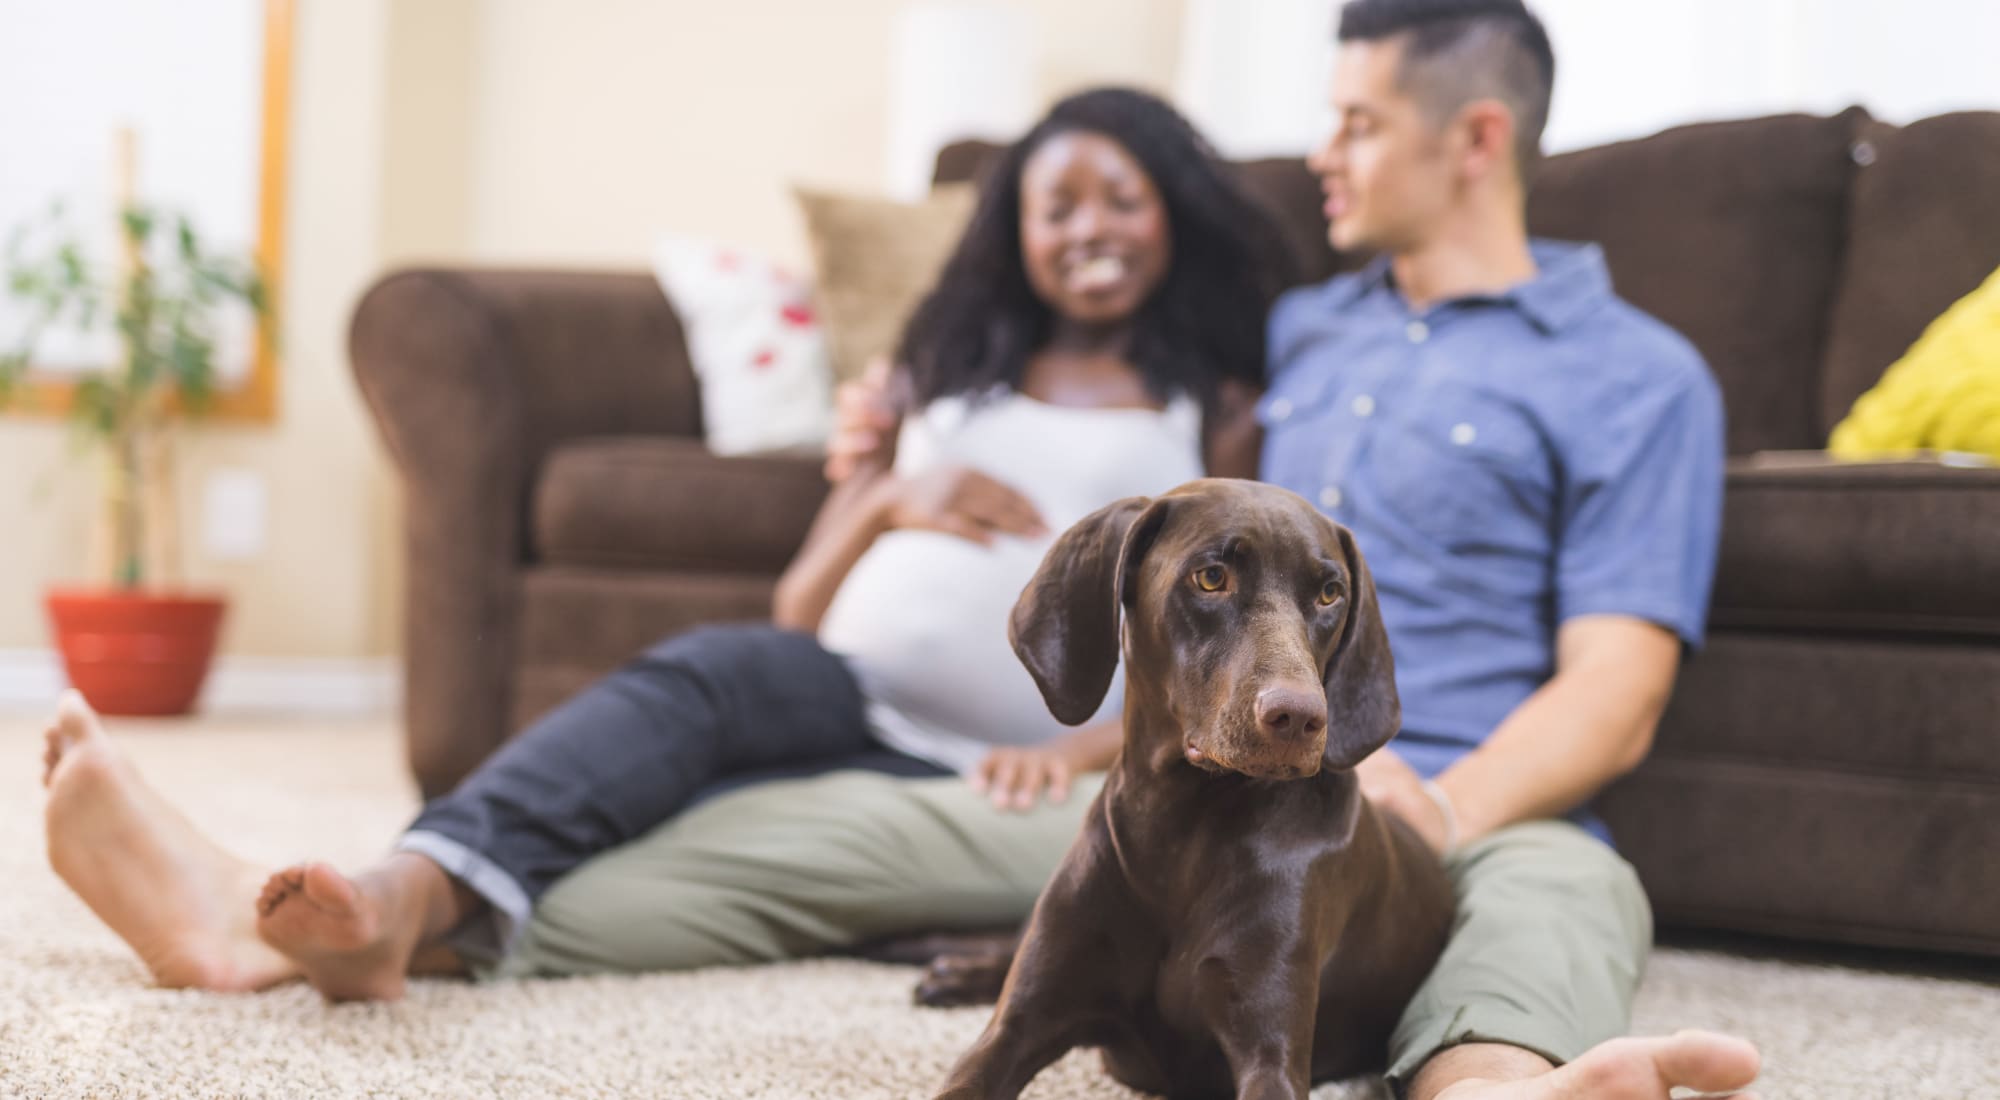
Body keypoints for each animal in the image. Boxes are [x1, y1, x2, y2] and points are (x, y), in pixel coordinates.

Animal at [928, 480, 1448, 1100]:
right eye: (1211, 578)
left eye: (1329, 594)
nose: (1301, 717)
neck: (1179, 831)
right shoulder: (1019, 1026)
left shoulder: (1269, 1050)